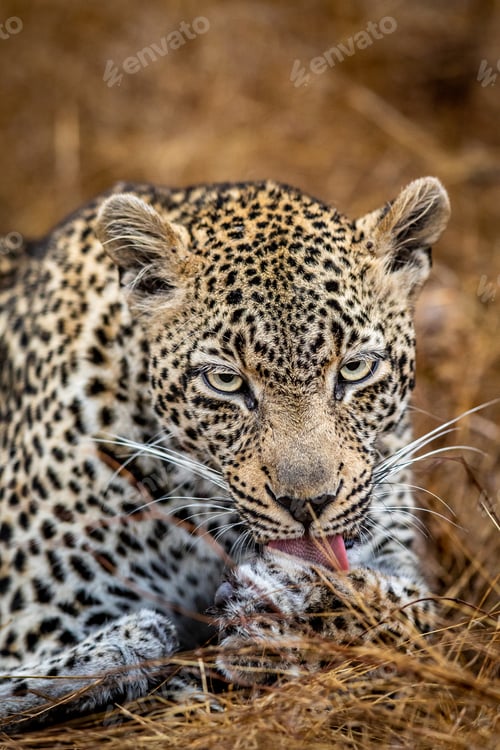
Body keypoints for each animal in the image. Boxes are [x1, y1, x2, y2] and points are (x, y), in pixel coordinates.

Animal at [0, 176, 450, 730]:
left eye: (355, 369)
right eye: (226, 381)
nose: (308, 504)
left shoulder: (394, 557)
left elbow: (411, 615)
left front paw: (286, 611)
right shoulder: (36, 619)